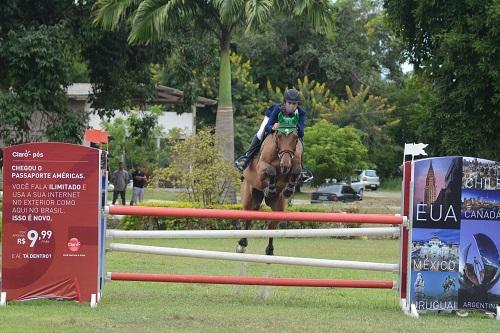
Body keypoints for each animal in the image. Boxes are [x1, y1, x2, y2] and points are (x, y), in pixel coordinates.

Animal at [236, 119, 302, 254]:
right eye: (279, 136)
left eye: (296, 138)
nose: (285, 165)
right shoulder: (261, 168)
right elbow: (270, 171)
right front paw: (270, 188)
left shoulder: (295, 166)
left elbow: (296, 171)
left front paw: (288, 190)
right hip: (249, 197)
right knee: (248, 216)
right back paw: (241, 244)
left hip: (278, 205)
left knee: (272, 225)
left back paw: (270, 250)